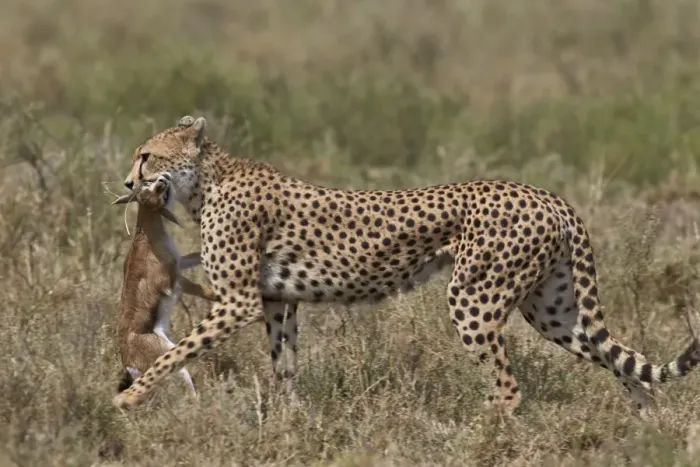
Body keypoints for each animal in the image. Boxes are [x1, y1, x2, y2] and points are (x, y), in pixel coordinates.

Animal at [112, 115, 700, 416]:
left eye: (147, 155)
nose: (126, 182)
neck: (207, 181)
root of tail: (548, 196)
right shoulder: (278, 301)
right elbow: (284, 367)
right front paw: (288, 420)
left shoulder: (239, 301)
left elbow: (177, 352)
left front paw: (131, 397)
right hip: (553, 310)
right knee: (628, 367)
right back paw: (647, 431)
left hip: (473, 299)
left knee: (509, 388)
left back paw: (481, 436)